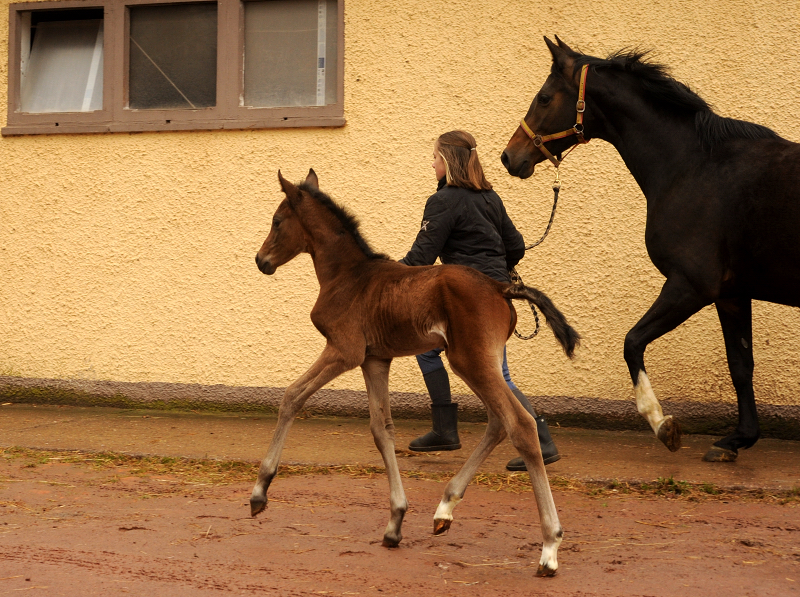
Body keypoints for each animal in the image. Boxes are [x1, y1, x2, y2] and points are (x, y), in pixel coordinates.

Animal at [253, 170, 580, 576]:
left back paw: (549, 546)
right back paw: (445, 510)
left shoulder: (343, 351)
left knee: (519, 423)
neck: (349, 276)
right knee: (498, 422)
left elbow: (291, 396)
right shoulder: (375, 360)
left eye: (277, 221)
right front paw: (395, 522)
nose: (260, 260)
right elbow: (382, 430)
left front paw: (260, 491)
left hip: (469, 360)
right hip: (480, 361)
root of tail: (500, 286)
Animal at [500, 36, 800, 460]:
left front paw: (663, 425)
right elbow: (740, 365)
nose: (510, 157)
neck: (692, 167)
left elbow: (632, 342)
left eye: (543, 98)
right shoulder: (732, 295)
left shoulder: (690, 286)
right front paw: (738, 438)